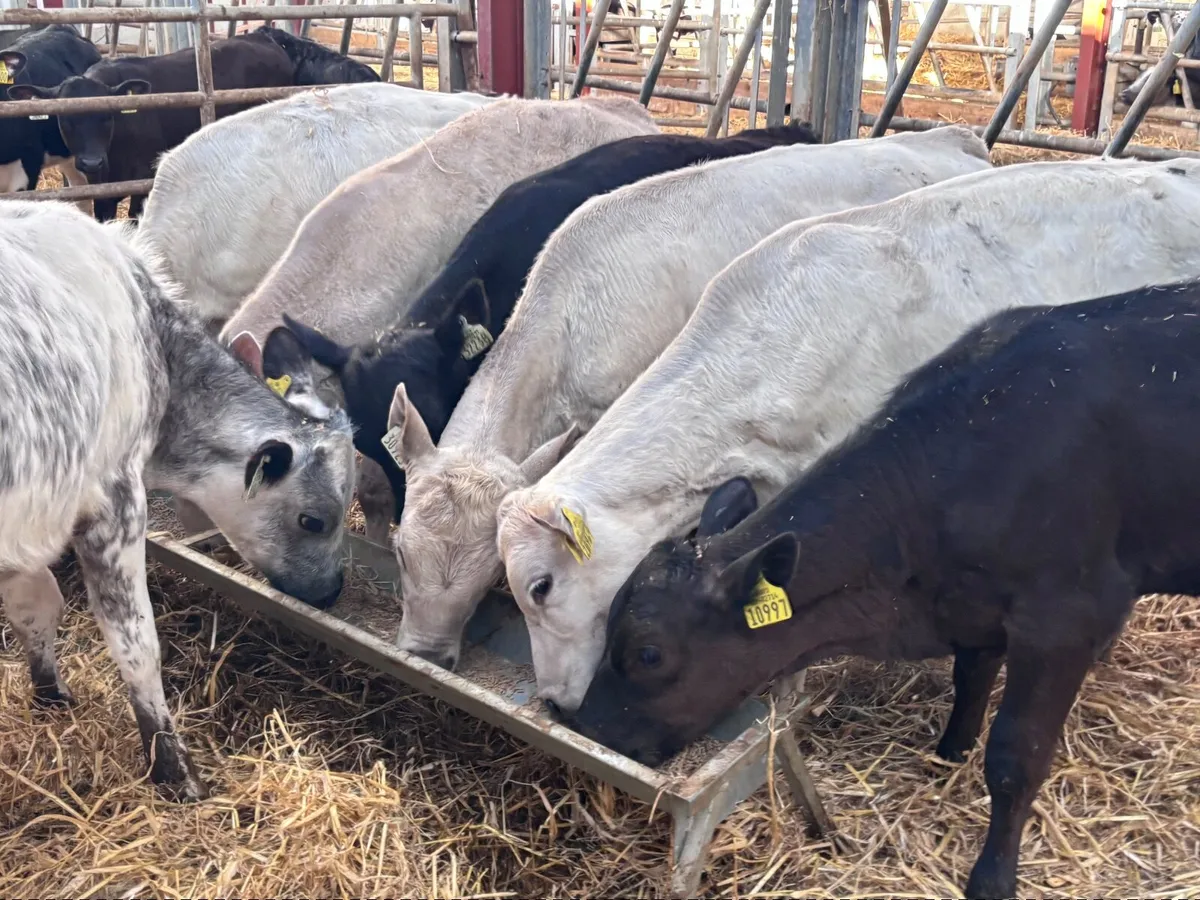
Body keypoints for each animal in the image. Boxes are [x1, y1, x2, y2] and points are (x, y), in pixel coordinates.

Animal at [0, 199, 356, 802]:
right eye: (314, 520)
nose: (332, 591)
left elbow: (36, 607)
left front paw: (50, 692)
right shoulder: (115, 500)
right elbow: (137, 644)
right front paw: (173, 767)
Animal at [8, 32, 294, 221]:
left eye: (107, 116)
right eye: (64, 118)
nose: (91, 162)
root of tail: (263, 38)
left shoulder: (143, 180)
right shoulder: (102, 189)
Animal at [569, 279, 1200, 898]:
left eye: (649, 654)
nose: (587, 728)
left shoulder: (1063, 620)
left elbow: (1015, 757)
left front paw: (992, 877)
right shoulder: (973, 606)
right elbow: (970, 680)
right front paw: (949, 754)